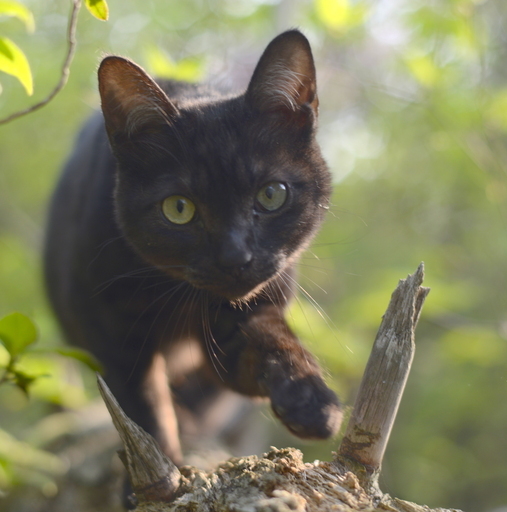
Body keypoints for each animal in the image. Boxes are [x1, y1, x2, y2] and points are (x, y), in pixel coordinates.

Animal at [44, 29, 346, 480]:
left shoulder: (249, 315)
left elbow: (274, 341)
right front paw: (158, 477)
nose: (235, 257)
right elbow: (146, 410)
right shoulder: (113, 334)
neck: (182, 301)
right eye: (179, 208)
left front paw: (312, 401)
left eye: (271, 195)